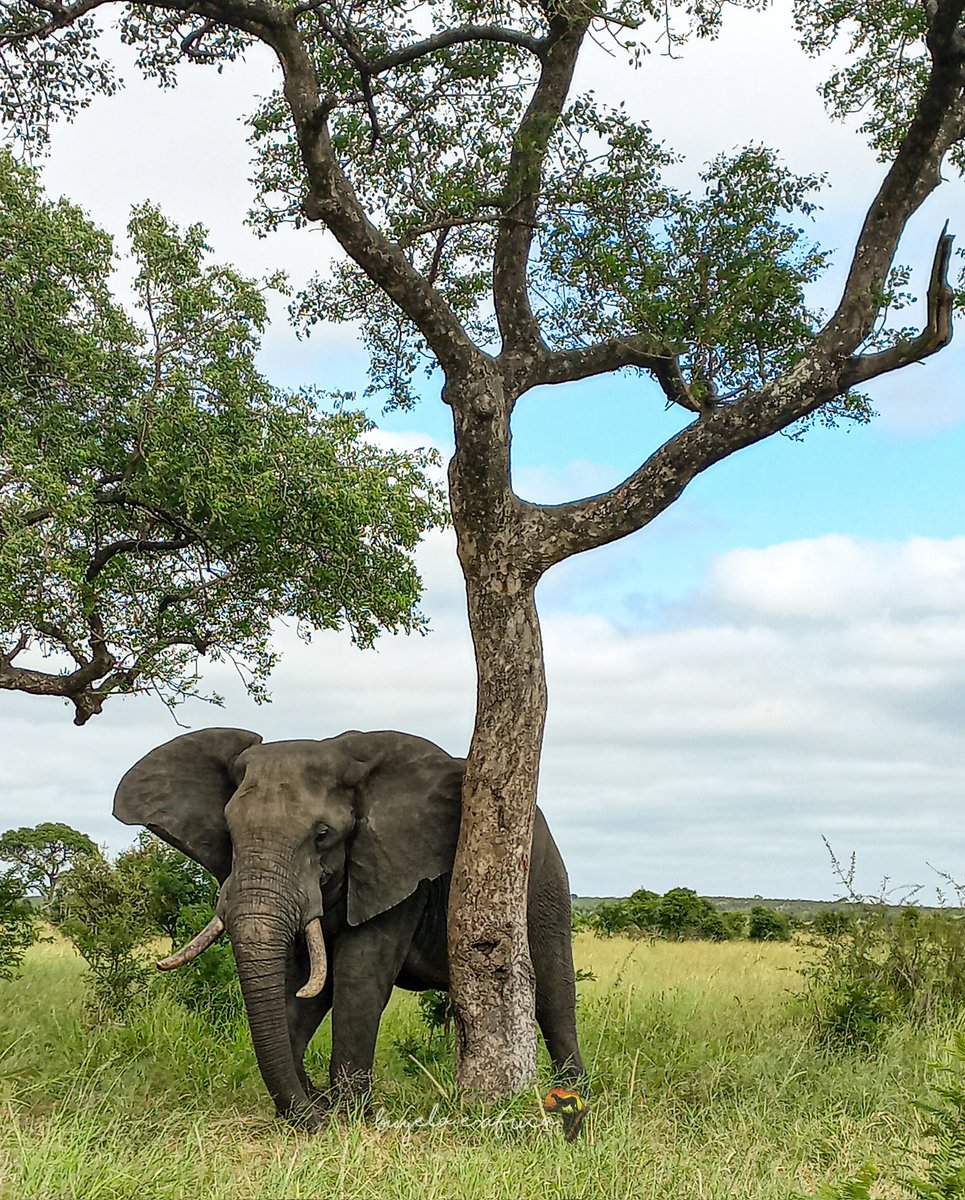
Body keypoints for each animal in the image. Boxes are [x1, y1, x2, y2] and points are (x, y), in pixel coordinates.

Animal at [112, 724, 580, 1128]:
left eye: (322, 834)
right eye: (229, 832)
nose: (316, 1114)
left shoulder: (397, 870)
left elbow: (358, 974)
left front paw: (351, 1117)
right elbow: (305, 983)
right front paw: (317, 1109)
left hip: (543, 881)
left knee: (553, 996)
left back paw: (573, 1100)